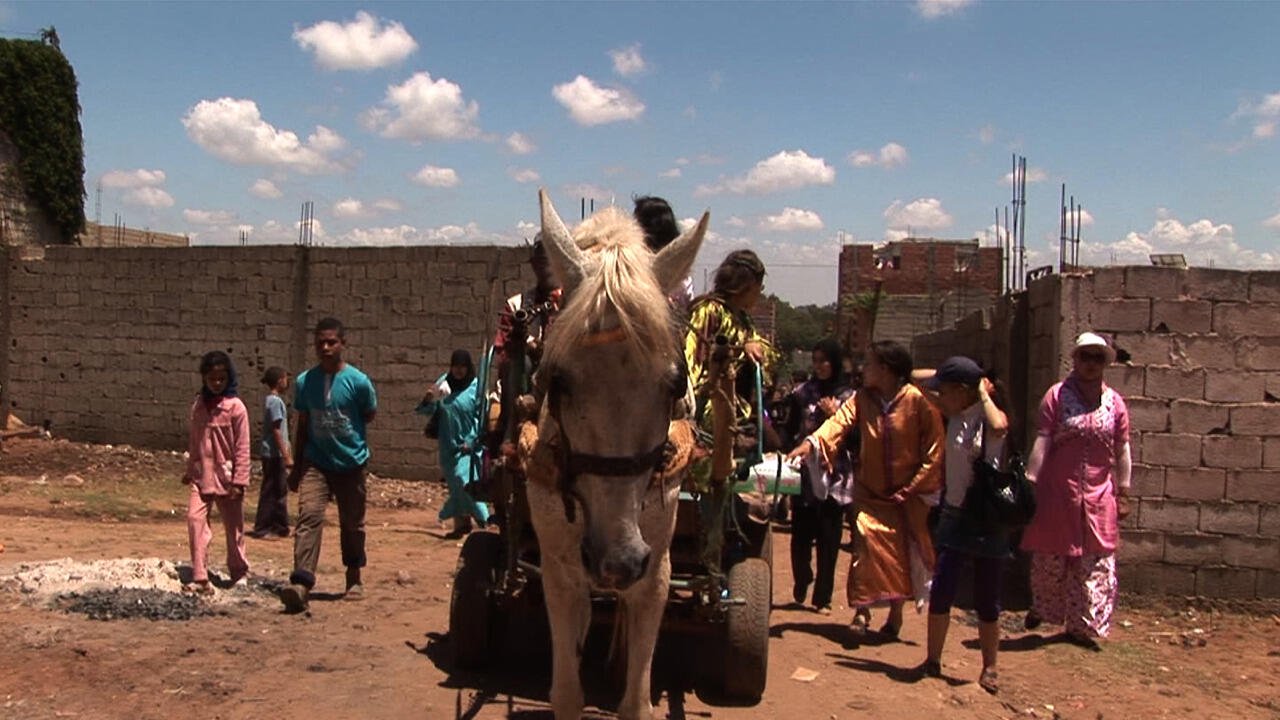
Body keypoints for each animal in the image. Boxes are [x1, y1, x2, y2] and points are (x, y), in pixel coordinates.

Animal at [525, 189, 707, 720]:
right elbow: (566, 694)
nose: (618, 560)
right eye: (559, 380)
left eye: (674, 384)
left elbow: (637, 703)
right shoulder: (560, 572)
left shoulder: (656, 572)